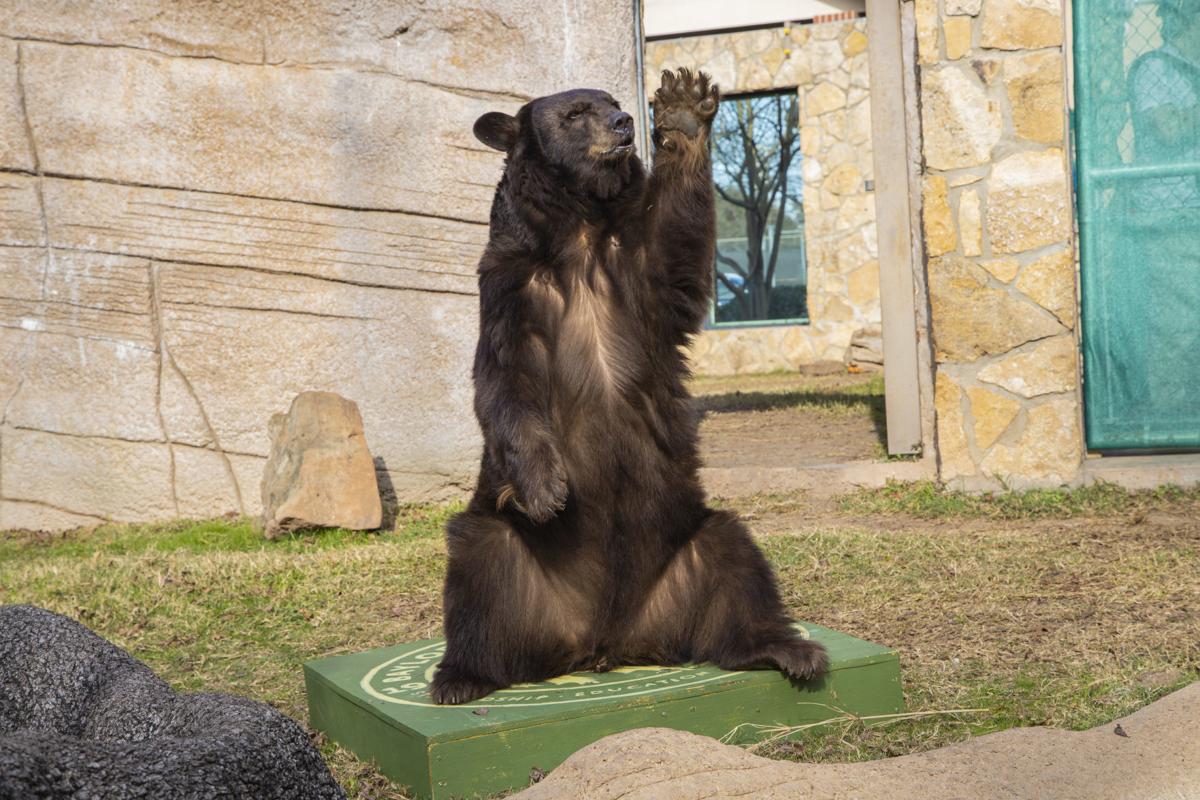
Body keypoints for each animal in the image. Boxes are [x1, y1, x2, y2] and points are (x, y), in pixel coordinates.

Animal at [430, 68, 828, 705]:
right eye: (574, 113)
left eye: (613, 101)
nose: (622, 124)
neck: (581, 232)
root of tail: (605, 641)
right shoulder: (510, 288)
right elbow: (505, 381)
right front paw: (547, 489)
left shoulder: (635, 271)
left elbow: (676, 253)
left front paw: (685, 110)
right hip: (510, 553)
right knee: (478, 565)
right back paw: (461, 675)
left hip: (684, 544)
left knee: (736, 559)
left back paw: (784, 647)